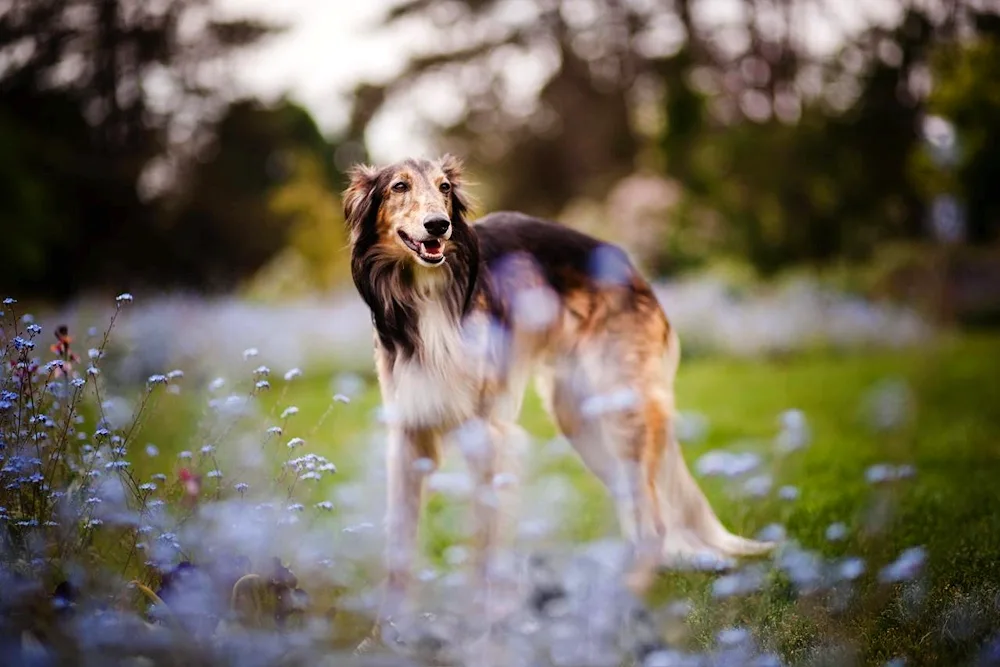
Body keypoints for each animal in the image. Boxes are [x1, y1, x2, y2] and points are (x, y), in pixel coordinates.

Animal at [340, 158, 768, 632]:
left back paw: (622, 602)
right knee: (636, 509)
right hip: (580, 419)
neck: (429, 294)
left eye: (445, 187)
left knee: (654, 521)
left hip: (624, 413)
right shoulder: (409, 436)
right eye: (399, 186)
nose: (439, 225)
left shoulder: (489, 436)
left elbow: (484, 550)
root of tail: (628, 265)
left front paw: (482, 630)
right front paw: (386, 633)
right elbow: (399, 547)